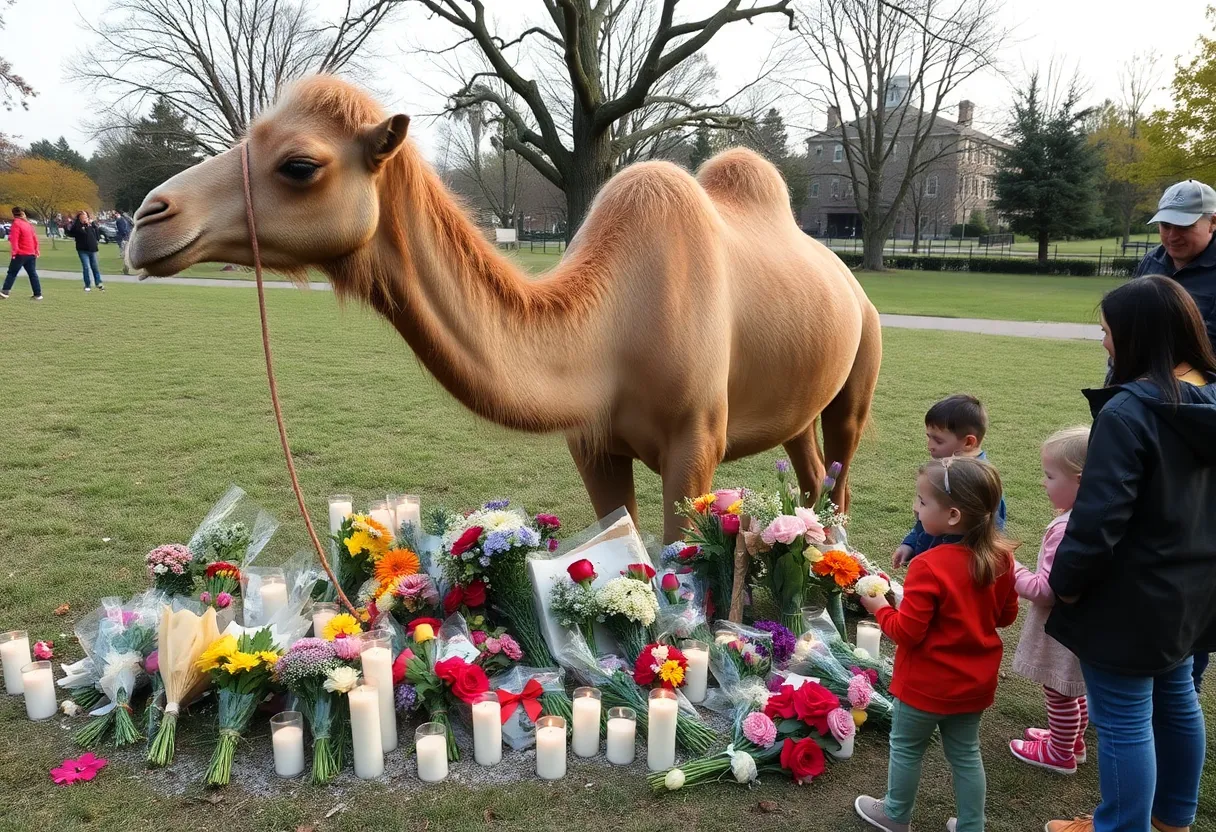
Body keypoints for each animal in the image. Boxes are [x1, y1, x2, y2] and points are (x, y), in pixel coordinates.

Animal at [127, 76, 882, 542]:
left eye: (299, 165)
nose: (147, 220)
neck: (613, 326)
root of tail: (852, 283)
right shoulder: (592, 442)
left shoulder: (696, 443)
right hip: (798, 403)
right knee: (812, 475)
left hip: (861, 366)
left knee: (840, 477)